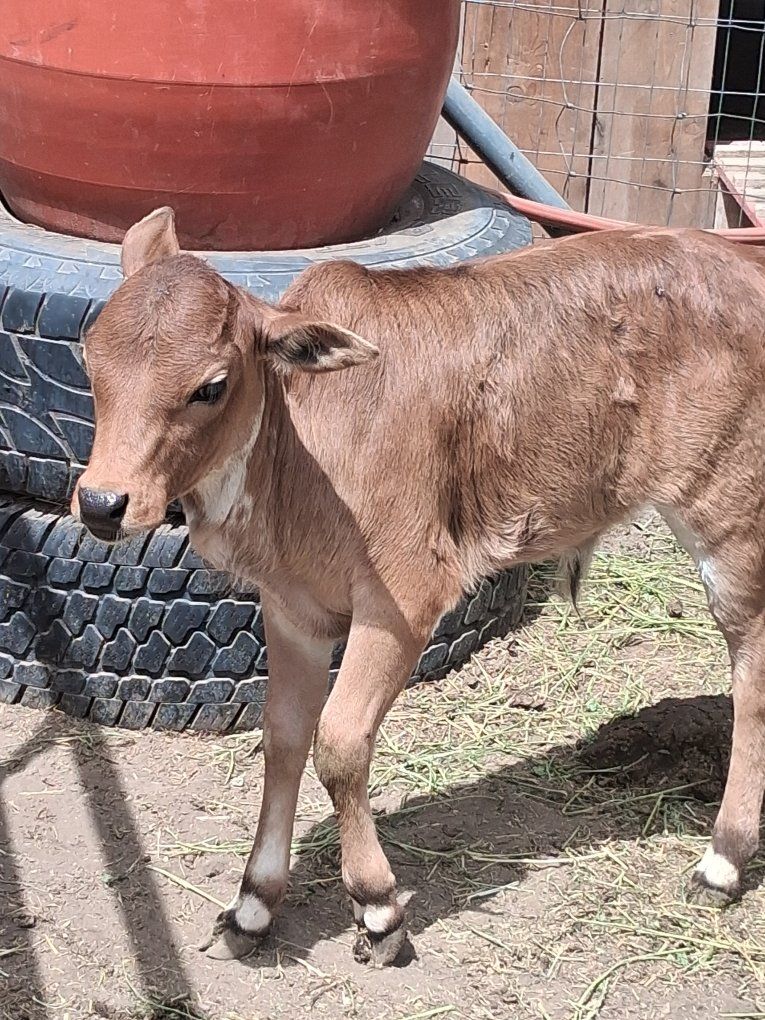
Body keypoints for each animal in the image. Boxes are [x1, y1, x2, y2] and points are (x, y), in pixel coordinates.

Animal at [73, 206, 765, 966]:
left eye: (211, 385)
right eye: (89, 358)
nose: (102, 503)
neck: (301, 448)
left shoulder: (404, 596)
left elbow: (340, 742)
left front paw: (377, 907)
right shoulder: (291, 609)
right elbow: (284, 736)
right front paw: (252, 905)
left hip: (728, 520)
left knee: (752, 681)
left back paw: (722, 862)